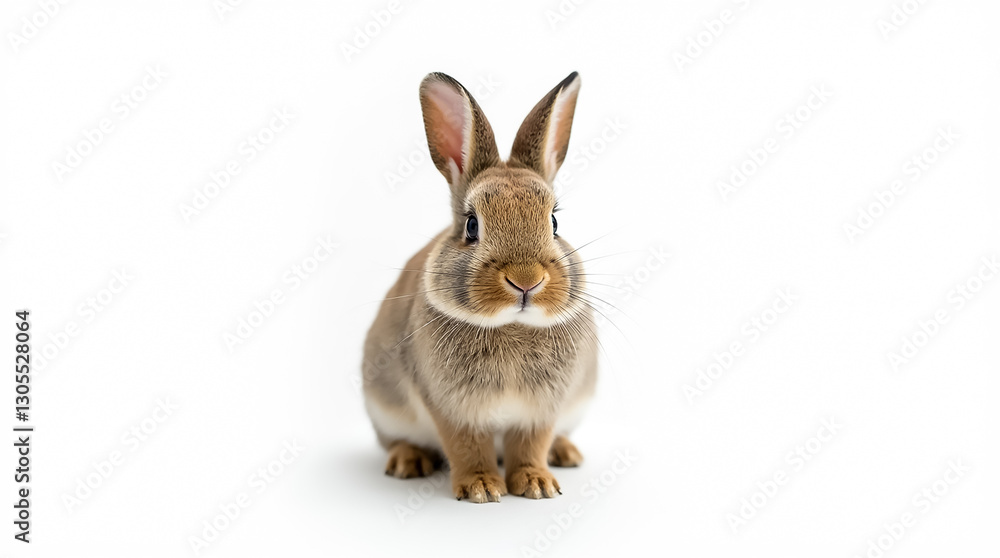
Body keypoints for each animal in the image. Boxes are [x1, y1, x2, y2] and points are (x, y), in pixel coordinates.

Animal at [362, 71, 597, 503]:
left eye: (555, 223)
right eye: (472, 225)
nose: (526, 280)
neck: (512, 326)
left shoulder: (542, 411)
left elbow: (532, 444)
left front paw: (537, 484)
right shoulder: (453, 409)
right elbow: (467, 447)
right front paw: (482, 488)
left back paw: (566, 453)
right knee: (395, 440)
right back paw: (408, 461)